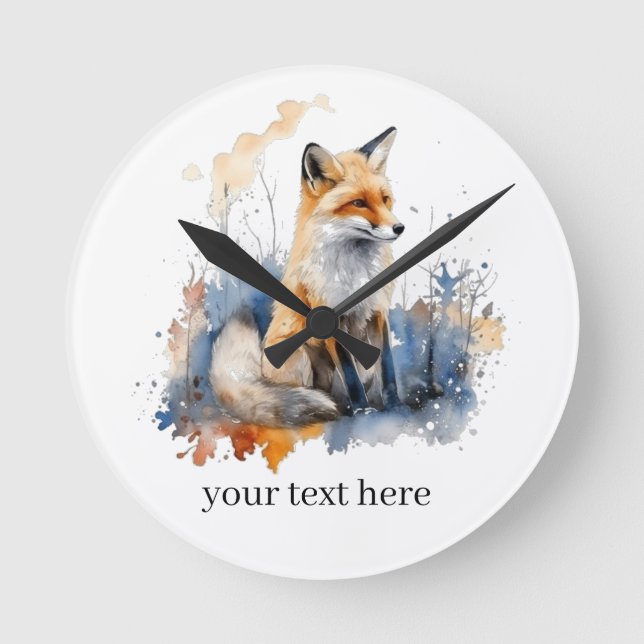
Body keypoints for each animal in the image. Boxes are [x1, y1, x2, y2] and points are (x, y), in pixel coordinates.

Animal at [210, 127, 405, 427]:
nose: (399, 228)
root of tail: (260, 374)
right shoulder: (330, 320)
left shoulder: (378, 312)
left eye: (384, 199)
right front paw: (363, 411)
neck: (356, 273)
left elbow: (388, 367)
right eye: (358, 203)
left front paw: (393, 404)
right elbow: (351, 376)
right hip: (299, 354)